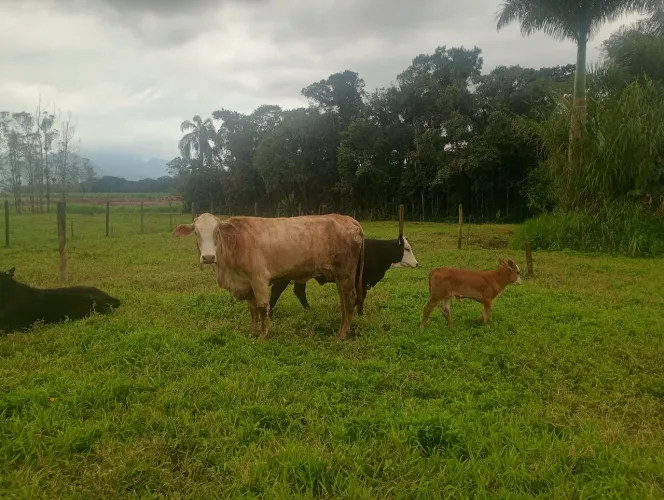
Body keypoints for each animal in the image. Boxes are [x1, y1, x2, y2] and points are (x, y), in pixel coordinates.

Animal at [172, 213, 365, 340]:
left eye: (217, 231)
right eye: (196, 232)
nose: (208, 257)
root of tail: (349, 219)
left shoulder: (259, 278)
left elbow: (262, 307)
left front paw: (263, 336)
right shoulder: (247, 283)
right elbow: (252, 309)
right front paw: (253, 332)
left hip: (346, 272)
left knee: (350, 299)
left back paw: (342, 334)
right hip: (340, 276)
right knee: (344, 301)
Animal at [268, 235, 419, 317]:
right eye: (407, 249)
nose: (417, 264)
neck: (377, 252)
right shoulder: (361, 281)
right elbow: (360, 298)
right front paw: (359, 314)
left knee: (298, 291)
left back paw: (308, 309)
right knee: (276, 291)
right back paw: (270, 313)